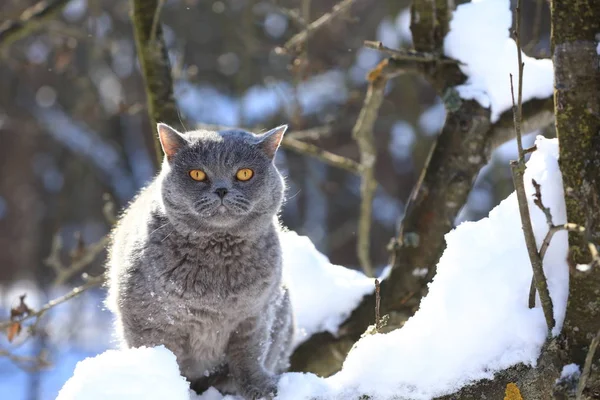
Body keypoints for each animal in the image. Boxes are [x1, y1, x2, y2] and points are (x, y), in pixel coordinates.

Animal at [108, 123, 298, 398]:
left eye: (245, 173)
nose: (221, 189)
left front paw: (260, 388)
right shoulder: (149, 322)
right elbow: (168, 359)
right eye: (197, 174)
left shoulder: (256, 315)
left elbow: (249, 356)